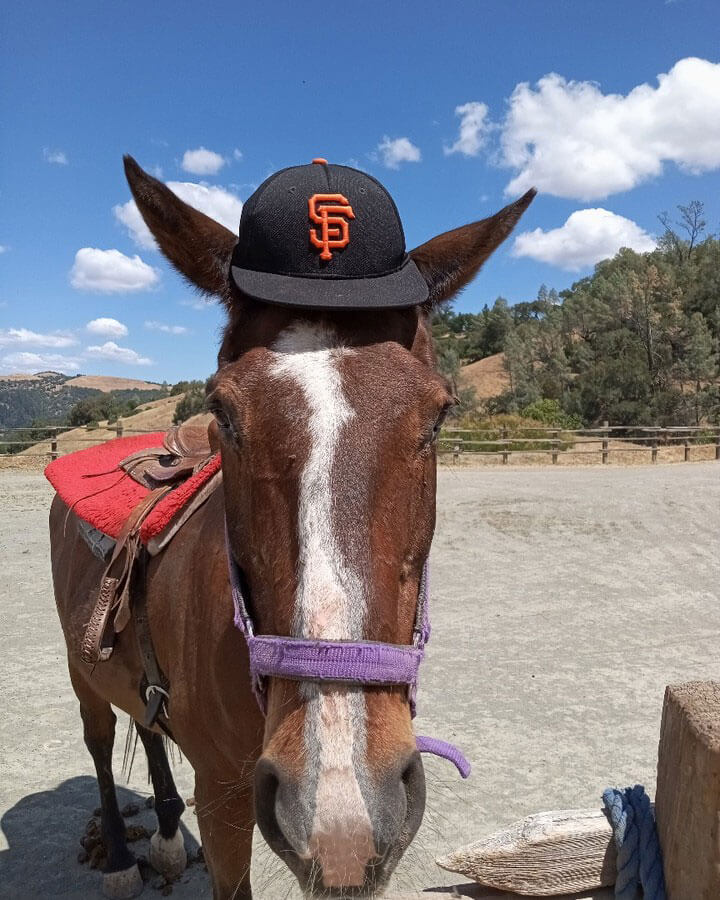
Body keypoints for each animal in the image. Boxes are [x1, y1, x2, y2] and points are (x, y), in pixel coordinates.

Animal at [49, 155, 534, 899]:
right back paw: (126, 858)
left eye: (438, 416)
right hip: (83, 673)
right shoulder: (223, 800)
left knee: (147, 725)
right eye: (224, 412)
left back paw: (165, 838)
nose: (340, 805)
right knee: (101, 740)